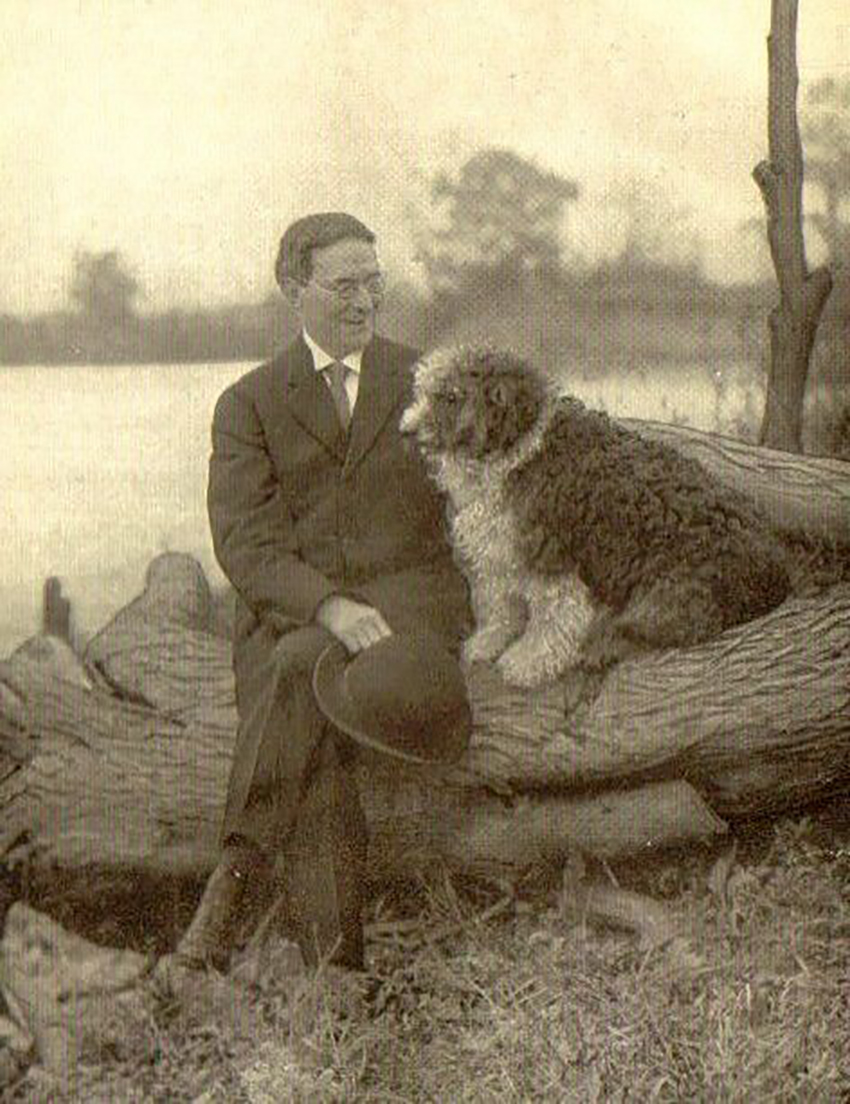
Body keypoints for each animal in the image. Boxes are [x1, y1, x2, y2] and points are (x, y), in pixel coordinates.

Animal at [401, 344, 790, 693]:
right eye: (423, 392)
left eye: (451, 397)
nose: (405, 430)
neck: (519, 454)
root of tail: (777, 557)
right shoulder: (497, 556)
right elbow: (499, 607)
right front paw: (486, 642)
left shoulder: (553, 561)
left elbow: (551, 622)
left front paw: (526, 663)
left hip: (672, 590)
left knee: (660, 629)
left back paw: (599, 647)